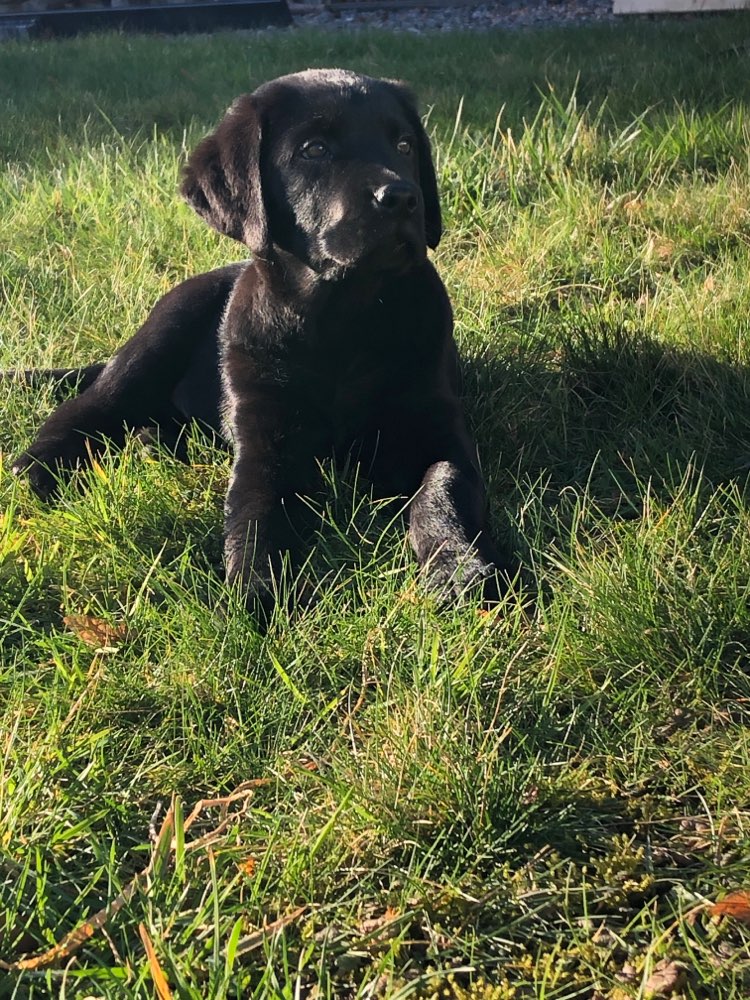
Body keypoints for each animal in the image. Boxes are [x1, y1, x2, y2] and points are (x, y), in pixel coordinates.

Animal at [11, 68, 516, 608]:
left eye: (404, 145)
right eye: (314, 149)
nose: (402, 197)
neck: (343, 315)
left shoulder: (435, 421)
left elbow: (443, 487)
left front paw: (458, 565)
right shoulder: (265, 433)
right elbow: (256, 509)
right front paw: (256, 586)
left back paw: (151, 443)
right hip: (157, 339)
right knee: (88, 407)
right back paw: (37, 470)